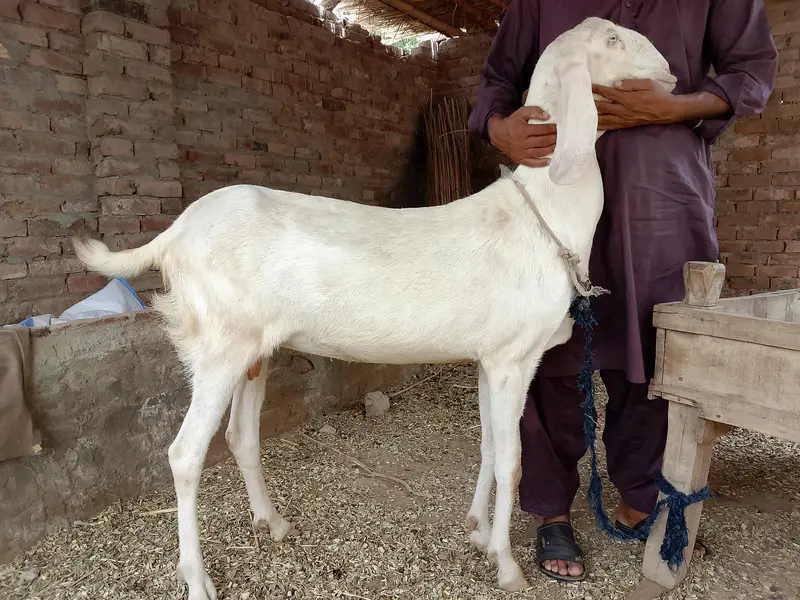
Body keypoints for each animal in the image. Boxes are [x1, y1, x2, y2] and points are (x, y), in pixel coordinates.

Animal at [73, 17, 676, 598]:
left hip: (251, 350)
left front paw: (479, 532)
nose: (670, 73)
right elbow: (511, 461)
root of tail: (174, 234)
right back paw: (198, 580)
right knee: (184, 454)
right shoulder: (514, 357)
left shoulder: (489, 357)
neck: (543, 212)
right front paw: (507, 566)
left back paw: (274, 523)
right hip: (219, 347)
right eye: (613, 38)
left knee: (241, 436)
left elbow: (486, 447)